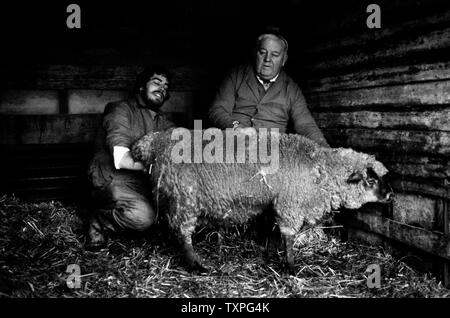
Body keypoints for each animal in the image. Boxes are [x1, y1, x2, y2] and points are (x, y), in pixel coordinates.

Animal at [131, 128, 394, 272]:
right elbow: (289, 236)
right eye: (371, 180)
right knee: (182, 232)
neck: (319, 168)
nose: (391, 194)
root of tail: (154, 143)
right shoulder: (289, 204)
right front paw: (290, 266)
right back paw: (196, 263)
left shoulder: (277, 203)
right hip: (184, 197)